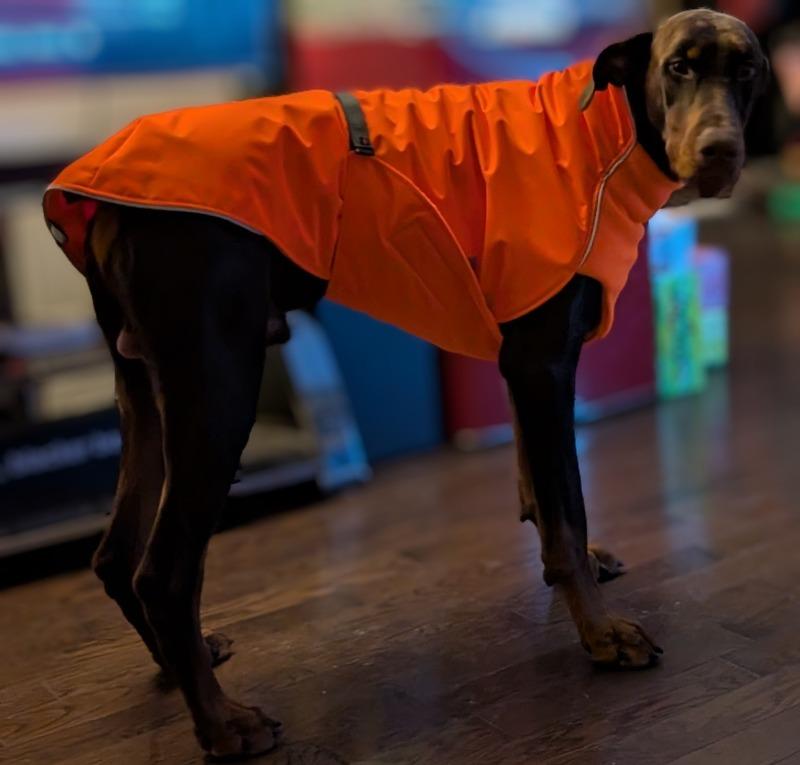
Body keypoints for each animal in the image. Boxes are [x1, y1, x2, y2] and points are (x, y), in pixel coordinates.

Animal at [42, 7, 768, 760]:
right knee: (163, 570)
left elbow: (538, 489)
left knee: (114, 554)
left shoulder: (518, 360)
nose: (719, 150)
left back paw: (178, 664)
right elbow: (567, 509)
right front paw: (600, 633)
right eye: (677, 68)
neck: (604, 138)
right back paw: (222, 723)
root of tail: (107, 200)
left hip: (146, 387)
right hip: (217, 391)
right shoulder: (543, 363)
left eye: (746, 70)